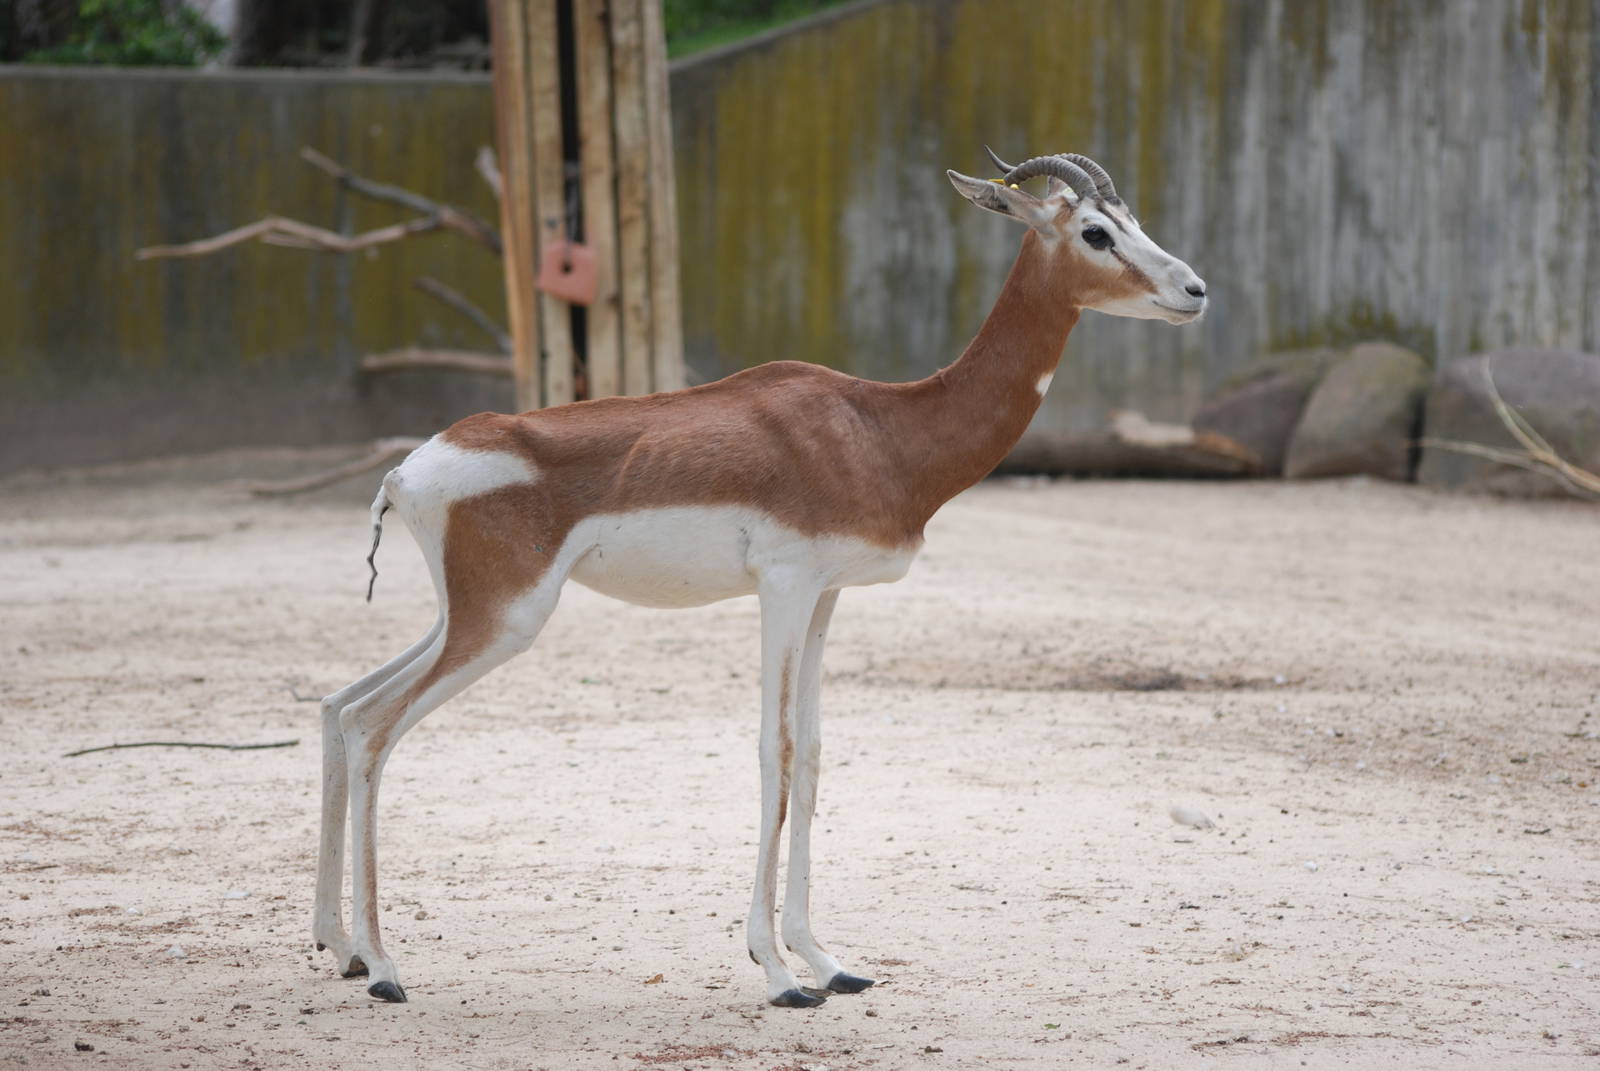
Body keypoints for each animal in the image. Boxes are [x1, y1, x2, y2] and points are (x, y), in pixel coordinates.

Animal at [313, 149, 1207, 1007]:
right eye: (1096, 231)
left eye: (1135, 219)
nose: (1195, 290)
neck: (882, 430)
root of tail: (405, 469)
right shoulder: (783, 585)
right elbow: (772, 752)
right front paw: (776, 972)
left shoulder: (825, 596)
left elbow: (809, 756)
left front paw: (828, 961)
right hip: (505, 619)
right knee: (375, 728)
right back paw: (386, 966)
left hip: (466, 615)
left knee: (340, 705)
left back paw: (341, 946)